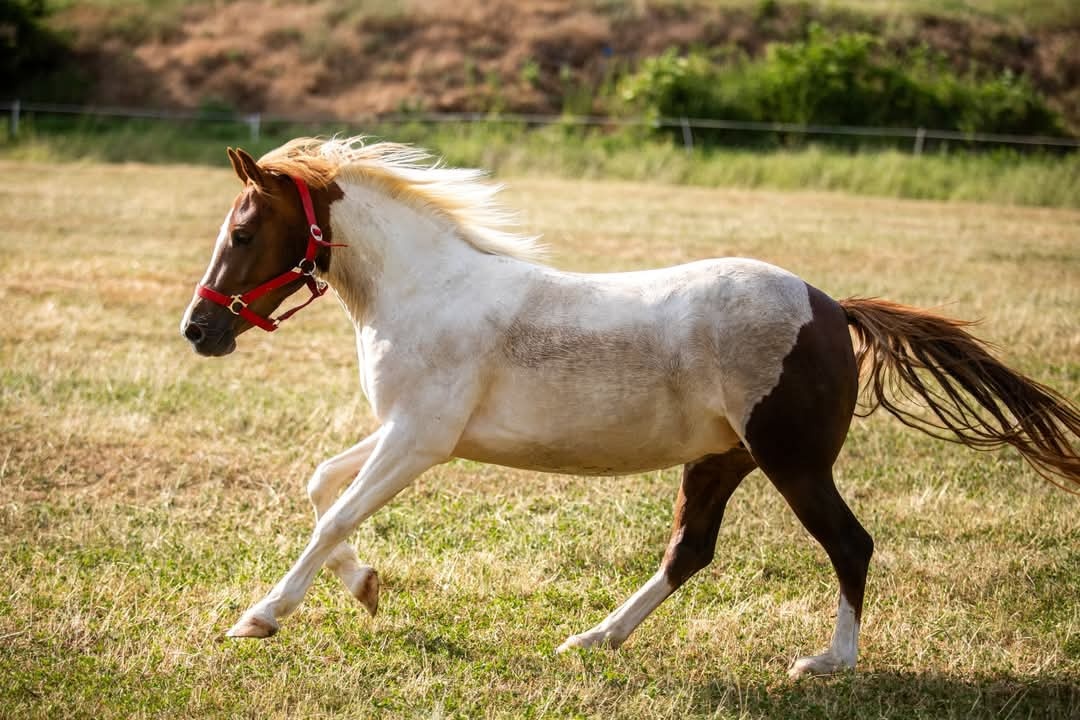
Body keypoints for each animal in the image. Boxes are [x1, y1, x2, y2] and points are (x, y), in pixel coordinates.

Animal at [180, 137, 1080, 678]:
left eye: (245, 230)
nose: (198, 330)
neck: (424, 289)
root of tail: (831, 309)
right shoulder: (405, 433)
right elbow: (319, 486)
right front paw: (367, 587)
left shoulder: (419, 441)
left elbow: (332, 512)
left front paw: (259, 617)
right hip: (721, 460)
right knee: (690, 552)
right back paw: (593, 638)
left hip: (792, 463)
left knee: (849, 544)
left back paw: (828, 663)